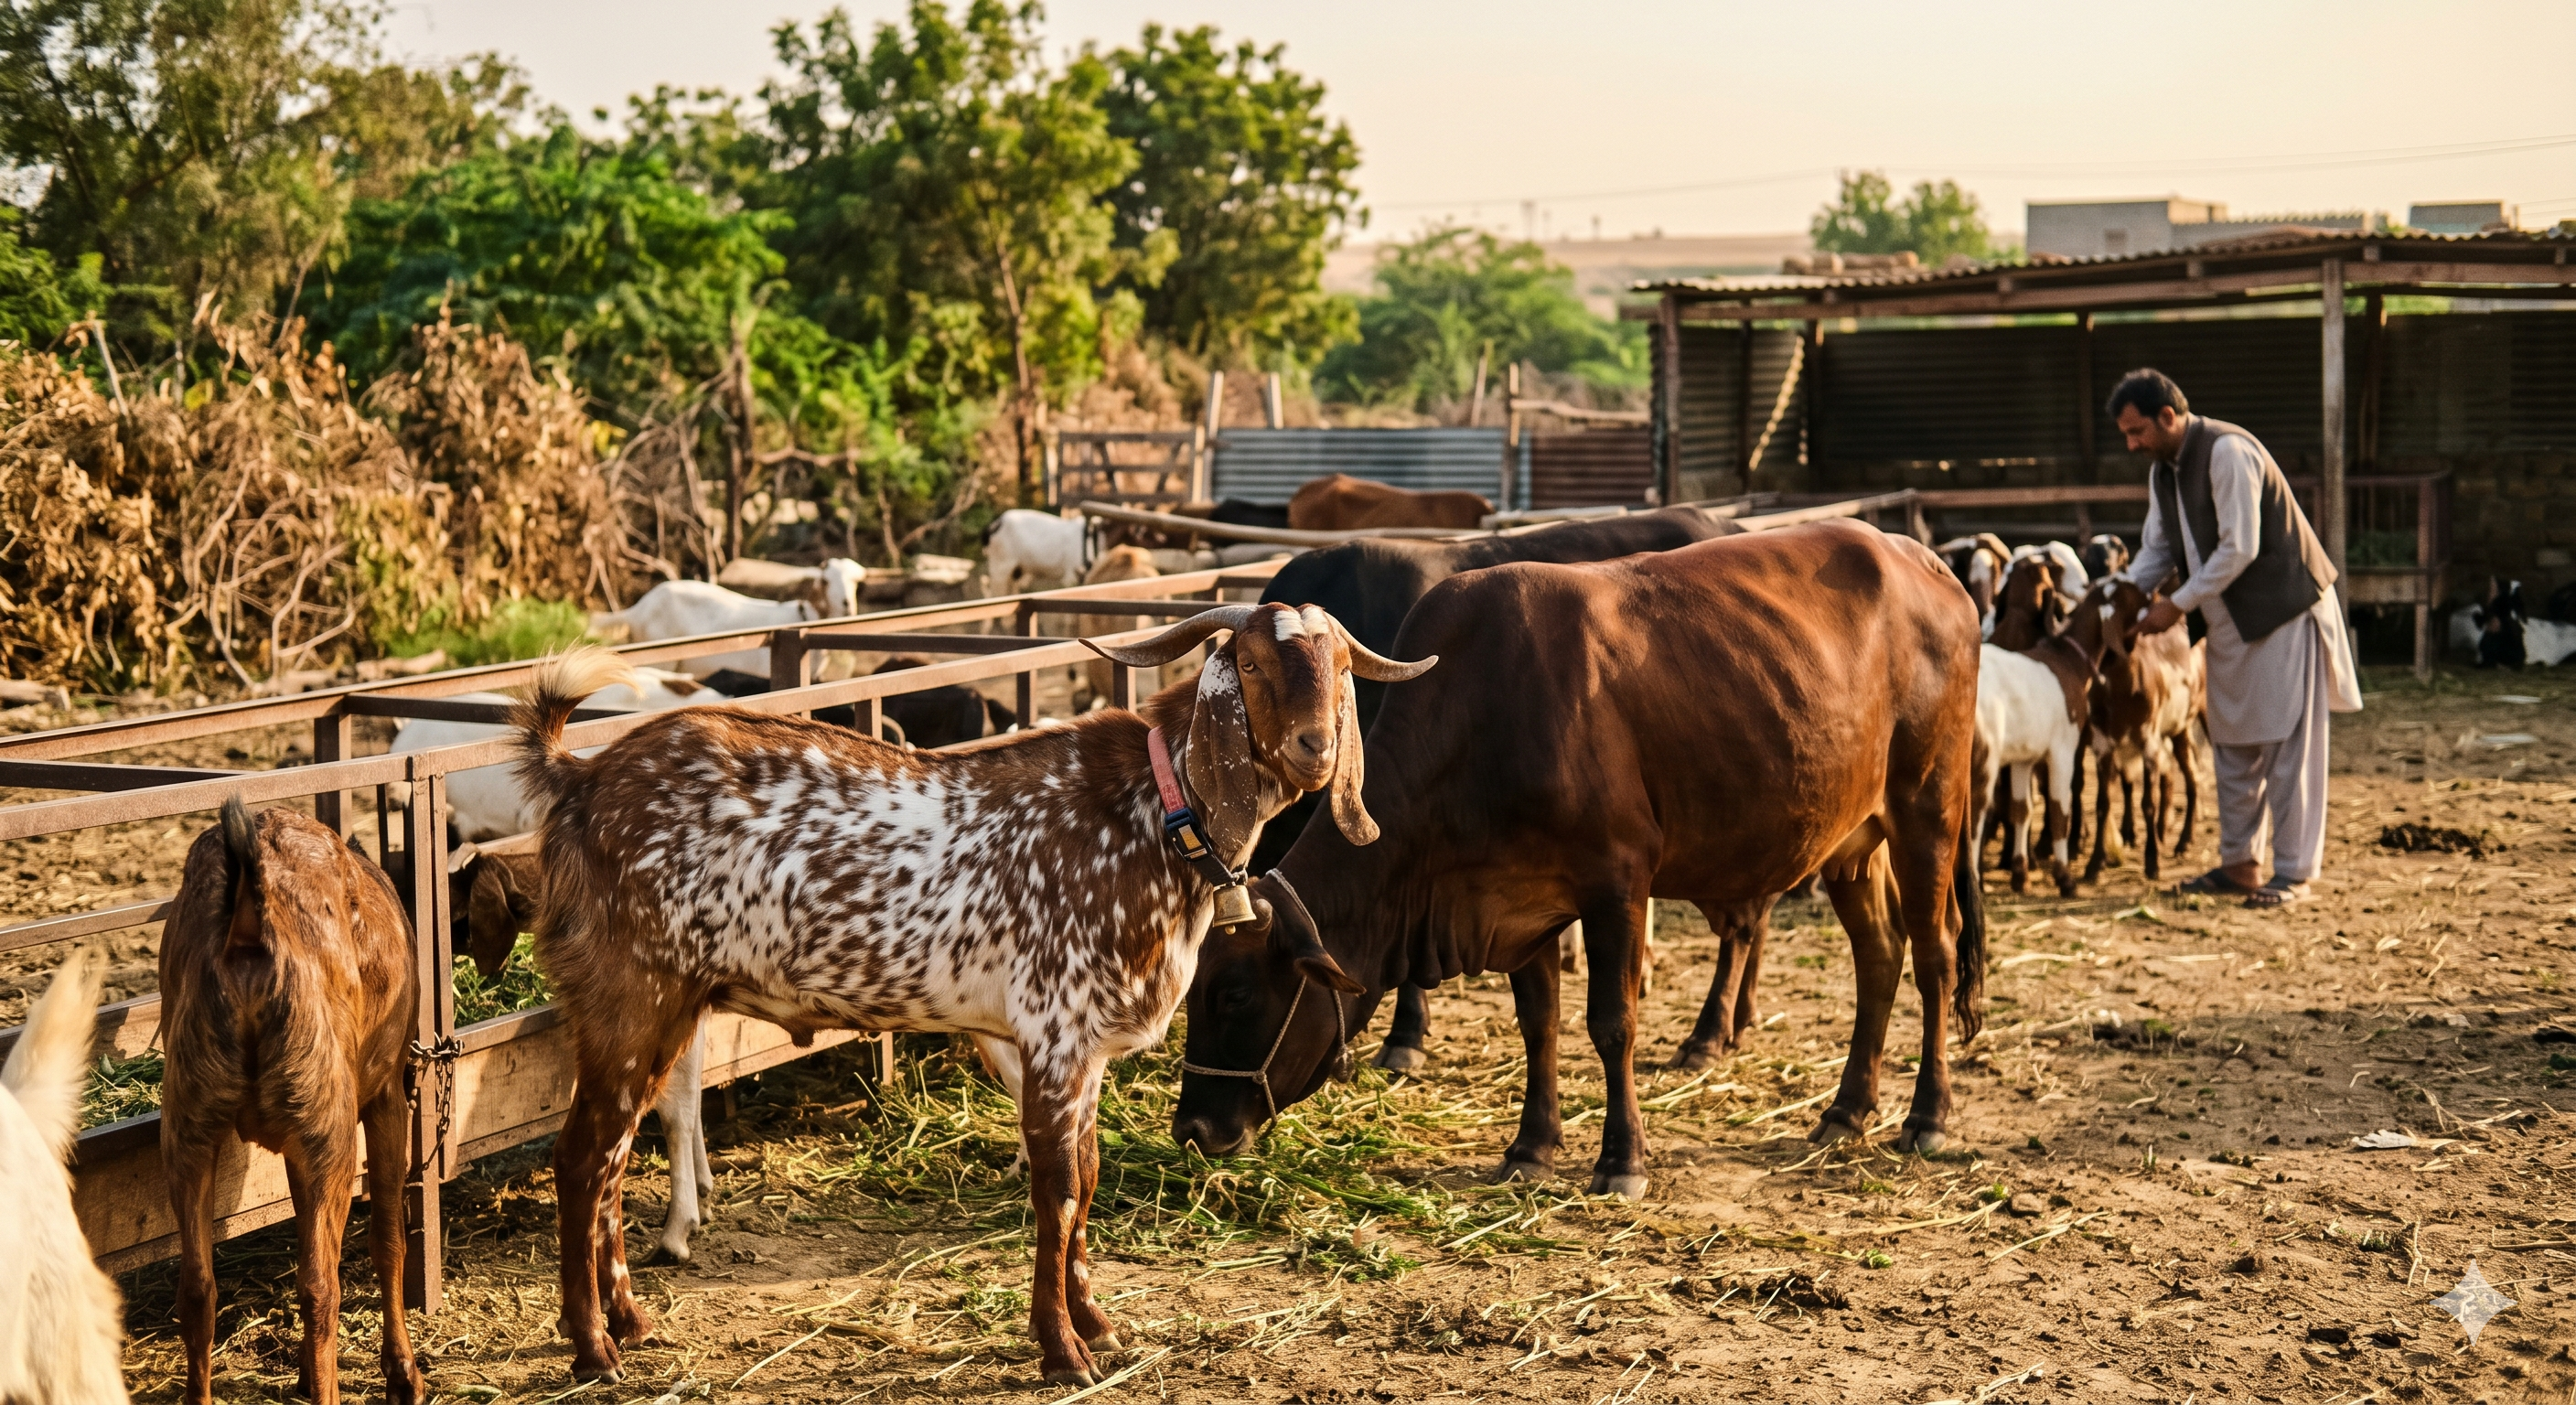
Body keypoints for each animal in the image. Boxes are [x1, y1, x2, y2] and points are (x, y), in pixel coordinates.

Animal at [1172, 521, 1987, 1197]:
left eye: (1234, 994)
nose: (1193, 1131)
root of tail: (1924, 562)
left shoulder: (1617, 884)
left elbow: (1611, 1022)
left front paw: (1621, 1160)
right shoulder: (1520, 897)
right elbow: (1540, 1023)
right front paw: (1530, 1149)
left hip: (1928, 807)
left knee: (1935, 955)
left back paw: (1927, 1116)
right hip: (1852, 839)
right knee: (1878, 955)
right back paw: (1847, 1110)